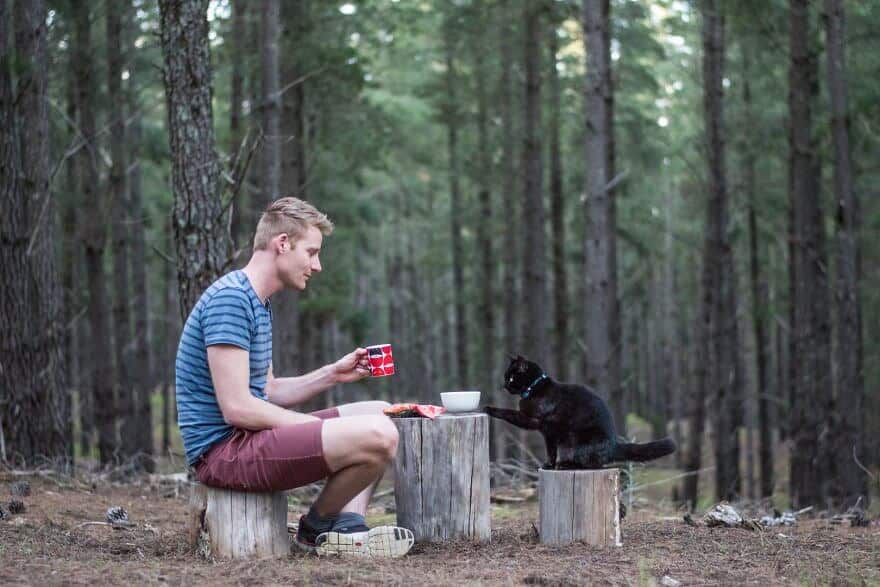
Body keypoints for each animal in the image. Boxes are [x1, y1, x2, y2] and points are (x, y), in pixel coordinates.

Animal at [484, 356, 676, 470]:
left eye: (511, 377)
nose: (504, 385)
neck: (535, 388)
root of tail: (614, 445)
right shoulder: (545, 431)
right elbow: (550, 449)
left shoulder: (539, 424)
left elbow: (510, 414)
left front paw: (489, 408)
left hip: (579, 441)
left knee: (591, 464)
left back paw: (566, 465)